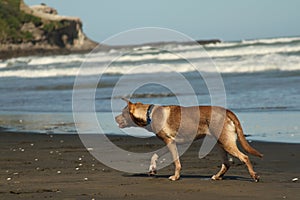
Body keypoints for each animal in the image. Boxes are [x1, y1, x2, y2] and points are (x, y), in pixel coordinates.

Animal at [115, 97, 262, 182]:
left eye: (123, 113)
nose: (115, 118)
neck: (149, 114)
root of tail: (227, 111)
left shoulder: (170, 142)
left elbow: (177, 163)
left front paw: (175, 177)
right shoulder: (172, 142)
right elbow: (155, 155)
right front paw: (152, 169)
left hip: (225, 142)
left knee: (244, 157)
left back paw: (254, 176)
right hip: (220, 143)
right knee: (227, 163)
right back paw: (217, 176)